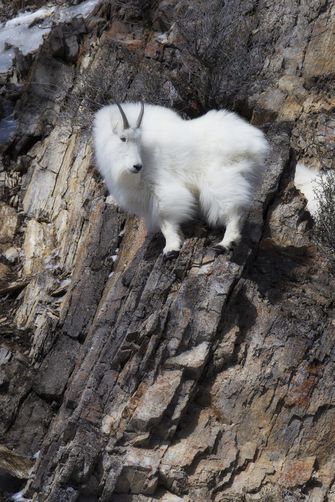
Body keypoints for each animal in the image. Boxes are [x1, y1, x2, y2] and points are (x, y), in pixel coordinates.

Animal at [93, 103, 270, 256]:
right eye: (123, 138)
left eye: (138, 139)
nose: (137, 166)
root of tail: (254, 141)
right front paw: (179, 241)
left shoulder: (160, 188)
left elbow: (166, 219)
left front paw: (171, 248)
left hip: (221, 179)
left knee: (233, 209)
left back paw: (226, 243)